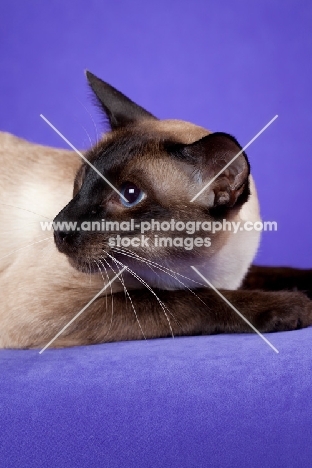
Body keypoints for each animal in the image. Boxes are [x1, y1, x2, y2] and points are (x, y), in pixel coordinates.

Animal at [0, 70, 312, 348]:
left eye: (129, 195)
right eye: (81, 182)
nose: (59, 227)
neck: (208, 271)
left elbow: (276, 271)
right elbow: (192, 299)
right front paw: (296, 305)